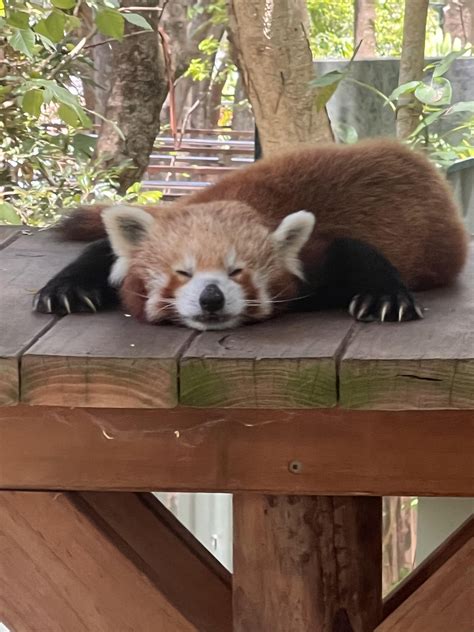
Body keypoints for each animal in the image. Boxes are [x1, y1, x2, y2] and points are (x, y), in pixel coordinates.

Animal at [34, 140, 470, 330]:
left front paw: (385, 297)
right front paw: (67, 288)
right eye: (183, 273)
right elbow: (103, 251)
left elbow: (353, 250)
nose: (211, 298)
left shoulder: (314, 255)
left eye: (237, 271)